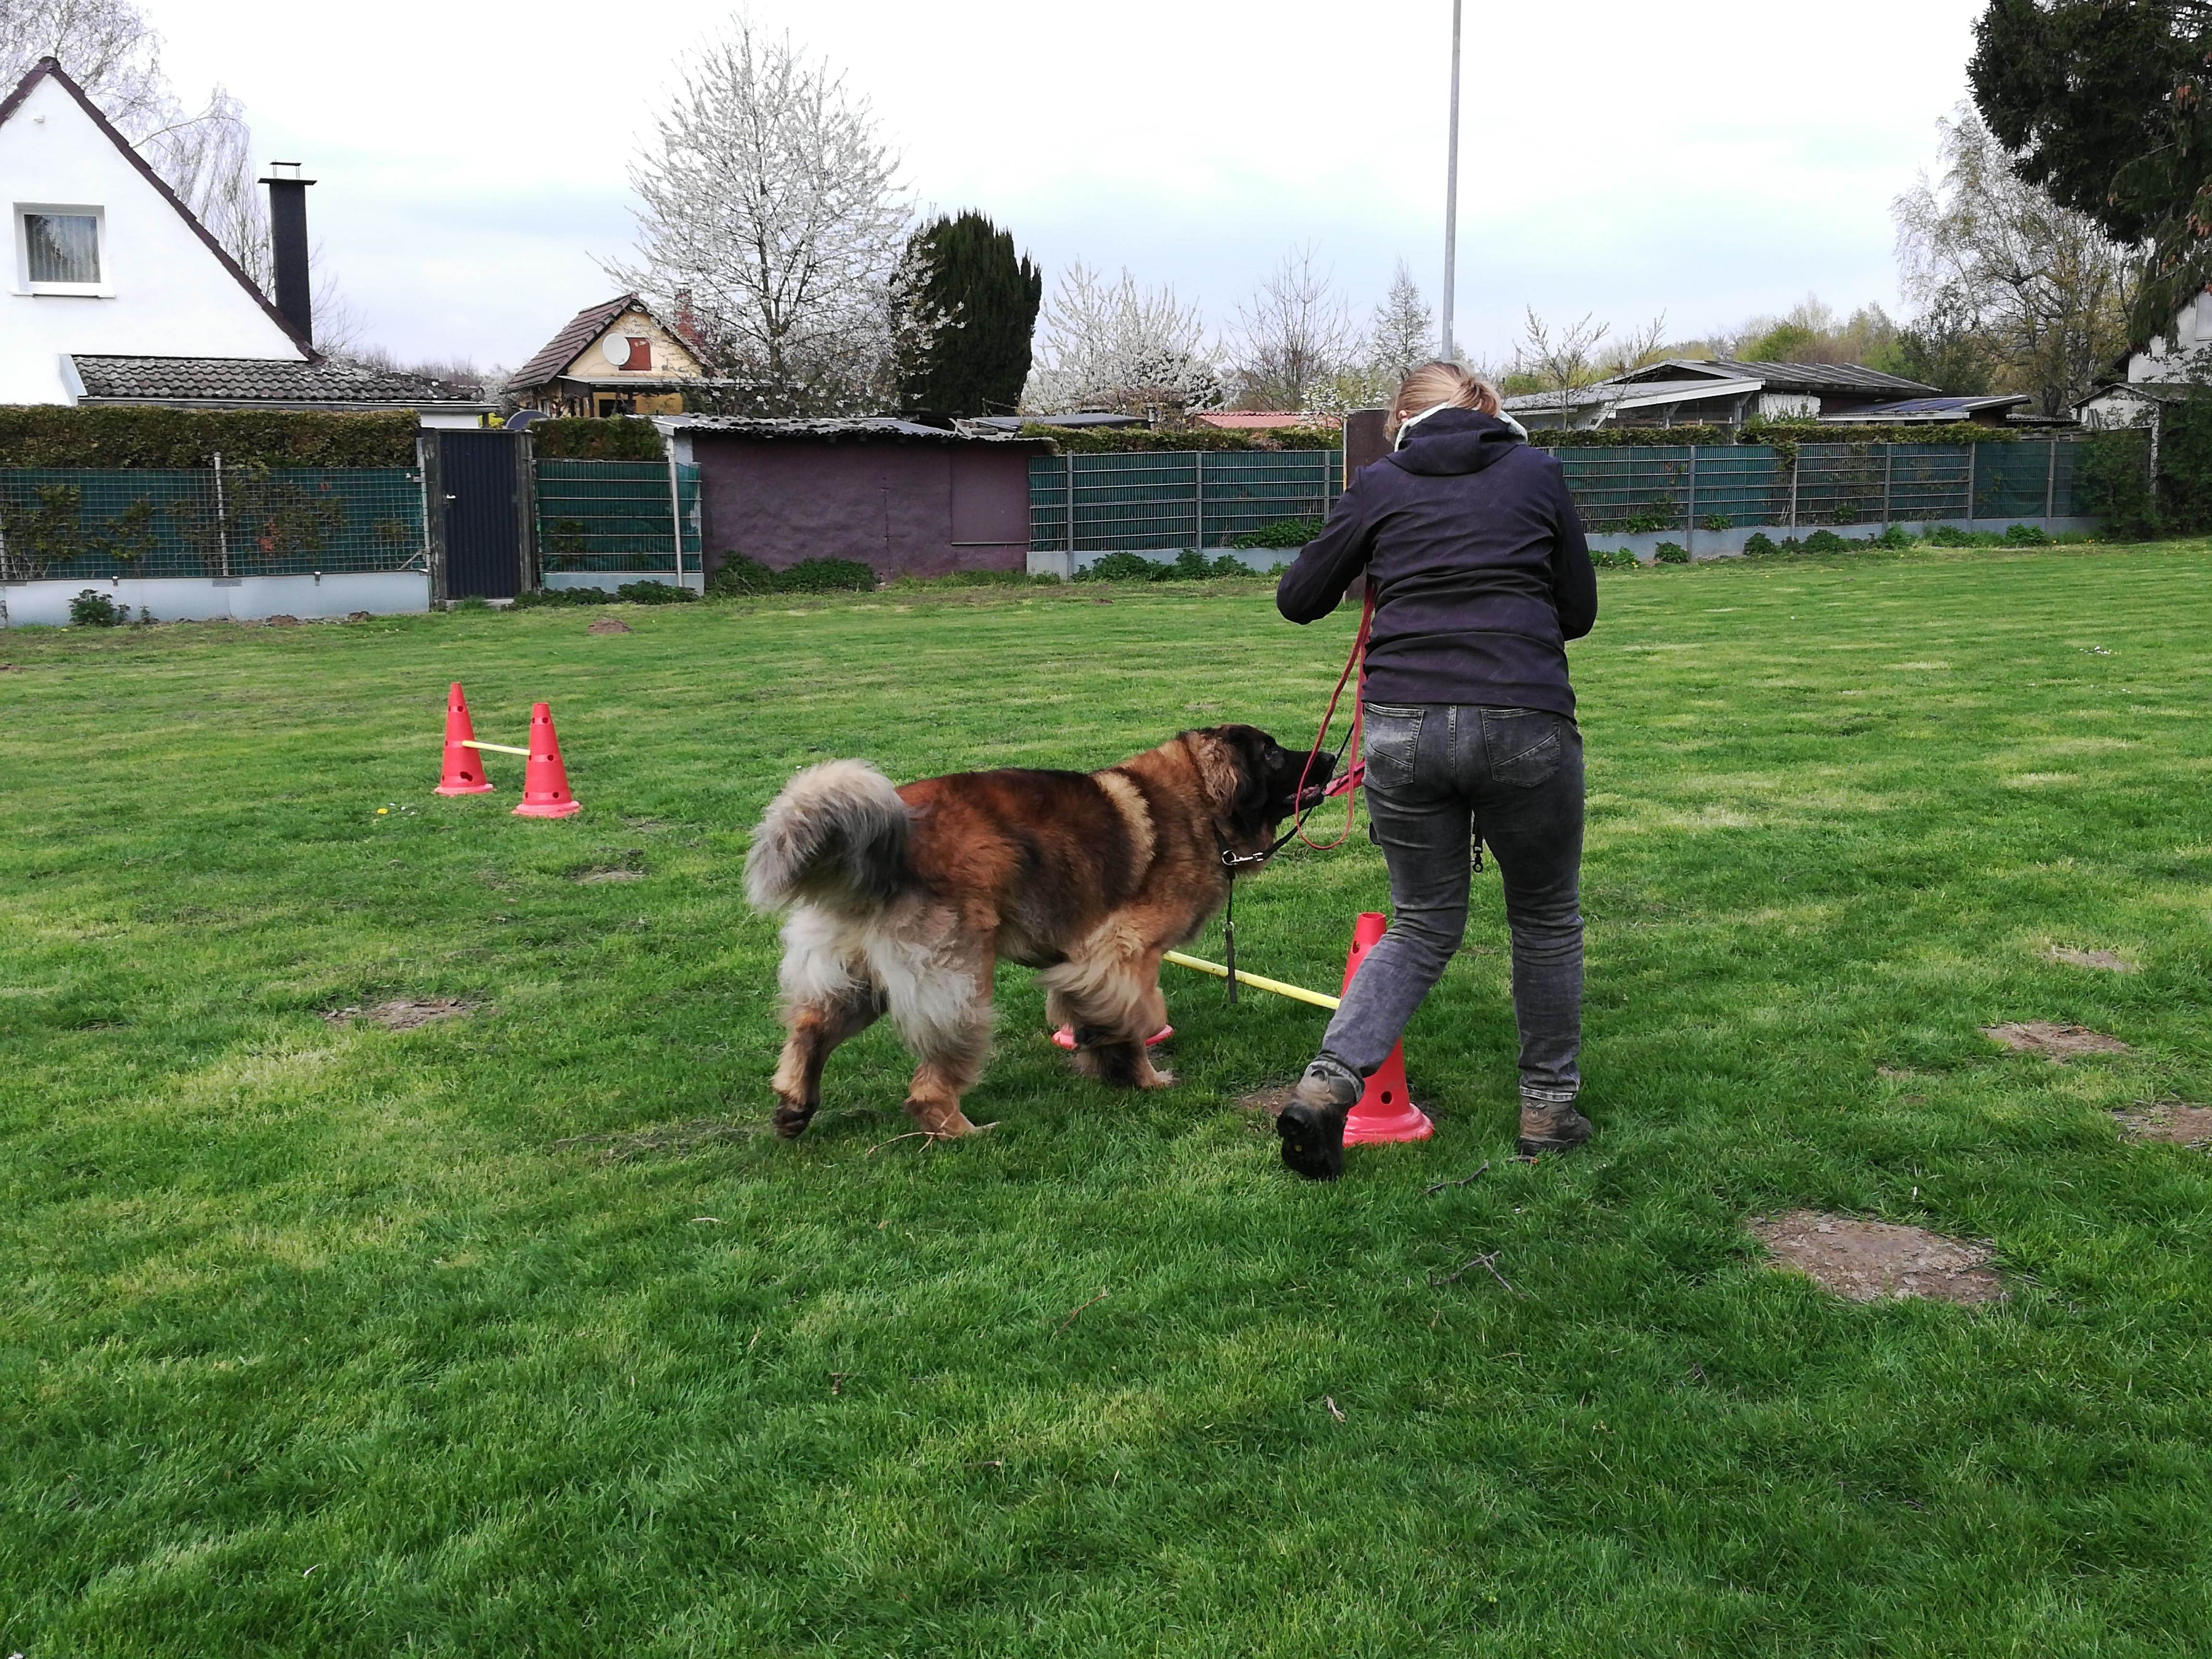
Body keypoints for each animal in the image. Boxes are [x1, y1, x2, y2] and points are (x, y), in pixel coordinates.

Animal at [744, 726, 1331, 1140]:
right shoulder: (1124, 952)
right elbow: (1138, 1018)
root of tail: (883, 837)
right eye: (1273, 754)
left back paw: (795, 1105)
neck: (1201, 806)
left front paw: (1105, 1063)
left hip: (860, 976)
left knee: (812, 1029)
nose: (1328, 758)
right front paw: (1142, 1079)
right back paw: (963, 1131)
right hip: (959, 979)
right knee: (929, 1086)